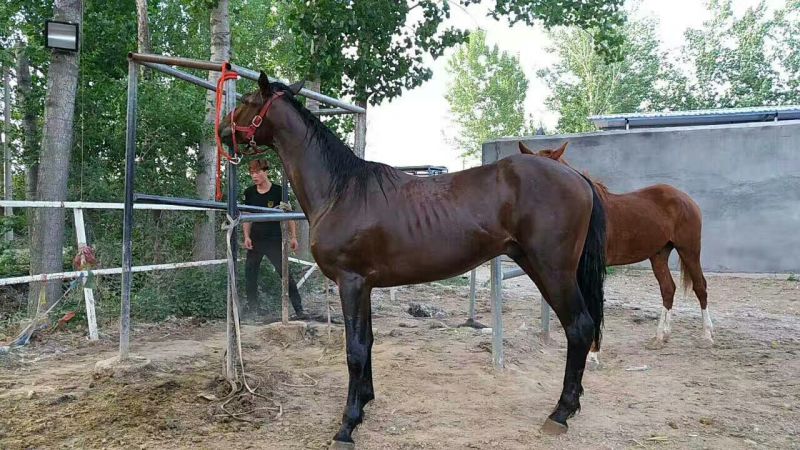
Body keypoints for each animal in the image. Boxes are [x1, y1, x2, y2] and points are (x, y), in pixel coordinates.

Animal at [221, 73, 608, 447]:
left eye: (247, 101)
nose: (223, 129)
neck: (340, 191)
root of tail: (577, 176)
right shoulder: (365, 285)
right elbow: (367, 342)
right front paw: (365, 402)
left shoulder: (351, 282)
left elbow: (354, 350)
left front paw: (347, 425)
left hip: (552, 271)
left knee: (579, 328)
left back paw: (560, 413)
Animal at [519, 141, 713, 352]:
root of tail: (685, 198)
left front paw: (593, 353)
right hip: (659, 254)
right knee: (668, 289)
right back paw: (661, 336)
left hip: (689, 250)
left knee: (700, 286)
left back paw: (707, 335)